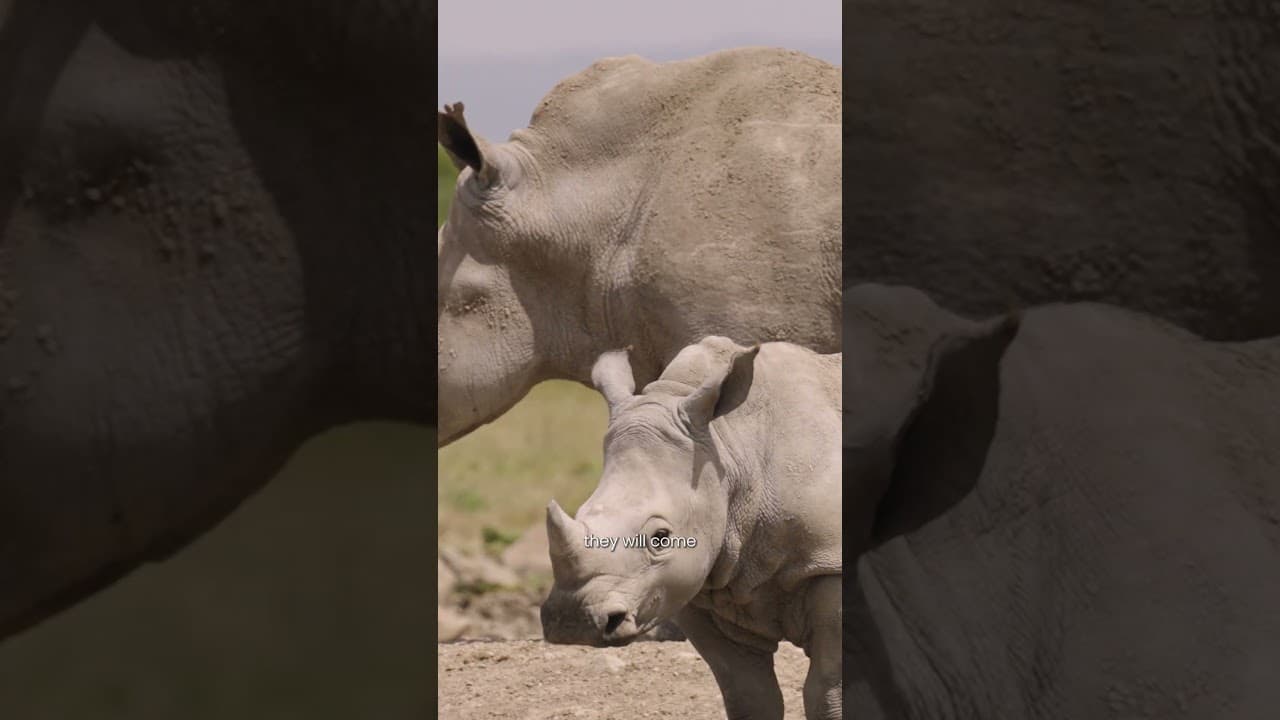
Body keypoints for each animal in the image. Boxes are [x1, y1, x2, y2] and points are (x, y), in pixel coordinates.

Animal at [540, 337, 842, 720]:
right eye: (580, 513)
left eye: (660, 538)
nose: (573, 620)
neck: (730, 446)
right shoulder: (697, 583)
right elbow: (747, 694)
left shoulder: (829, 560)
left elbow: (828, 692)